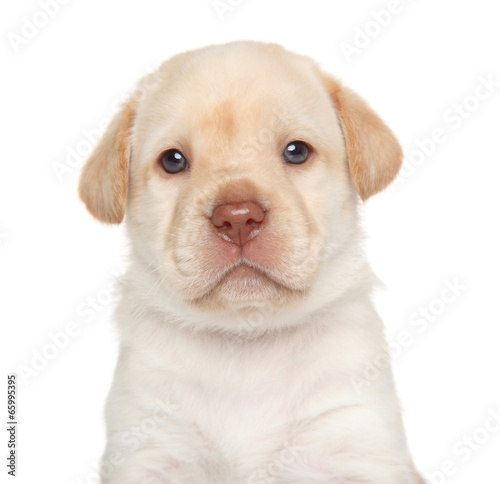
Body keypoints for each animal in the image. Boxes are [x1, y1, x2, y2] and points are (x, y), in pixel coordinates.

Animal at [80, 40, 424, 484]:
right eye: (173, 160)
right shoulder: (148, 444)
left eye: (296, 151)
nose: (238, 218)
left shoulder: (354, 440)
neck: (246, 340)